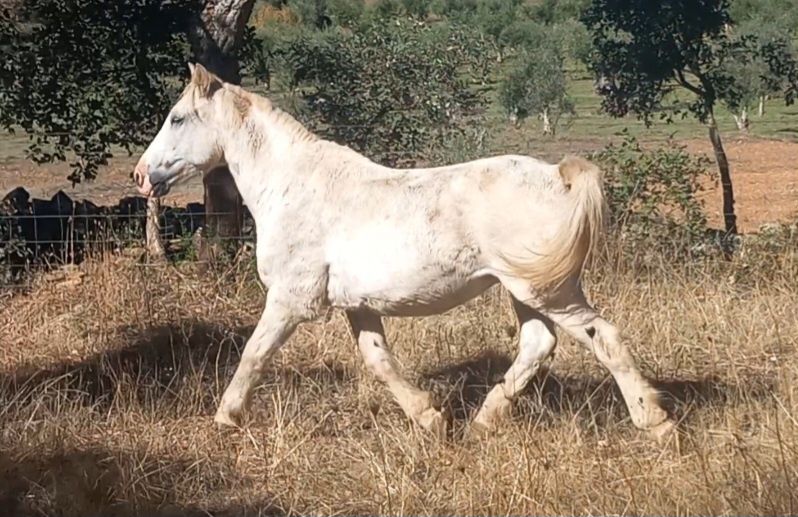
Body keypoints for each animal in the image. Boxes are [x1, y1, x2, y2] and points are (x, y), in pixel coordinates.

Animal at [133, 63, 675, 441]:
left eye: (177, 117)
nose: (140, 175)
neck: (293, 187)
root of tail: (557, 176)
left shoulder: (290, 300)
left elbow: (254, 352)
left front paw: (226, 416)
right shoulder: (358, 306)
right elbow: (379, 361)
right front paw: (431, 417)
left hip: (548, 291)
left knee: (603, 336)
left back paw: (655, 421)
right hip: (526, 292)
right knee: (538, 346)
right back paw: (483, 421)